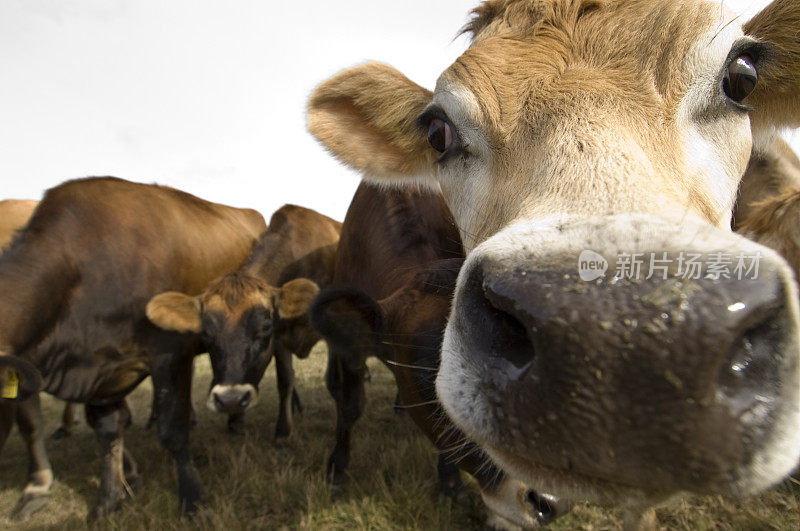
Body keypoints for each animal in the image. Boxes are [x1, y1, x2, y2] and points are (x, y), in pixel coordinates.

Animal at [0, 178, 268, 520]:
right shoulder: (100, 368)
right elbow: (106, 431)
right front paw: (109, 499)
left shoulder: (171, 353)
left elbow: (172, 429)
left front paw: (193, 501)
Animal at [147, 204, 340, 440]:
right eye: (206, 334)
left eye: (265, 327)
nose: (231, 399)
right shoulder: (280, 339)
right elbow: (285, 380)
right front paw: (282, 431)